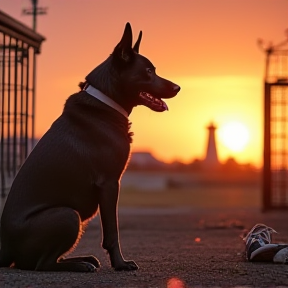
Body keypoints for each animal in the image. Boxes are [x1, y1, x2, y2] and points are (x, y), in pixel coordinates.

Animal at [0, 23, 180, 272]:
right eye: (148, 71)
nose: (178, 87)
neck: (105, 101)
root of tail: (5, 247)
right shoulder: (109, 183)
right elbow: (112, 232)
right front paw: (120, 264)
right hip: (68, 215)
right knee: (41, 264)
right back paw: (80, 265)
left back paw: (84, 259)